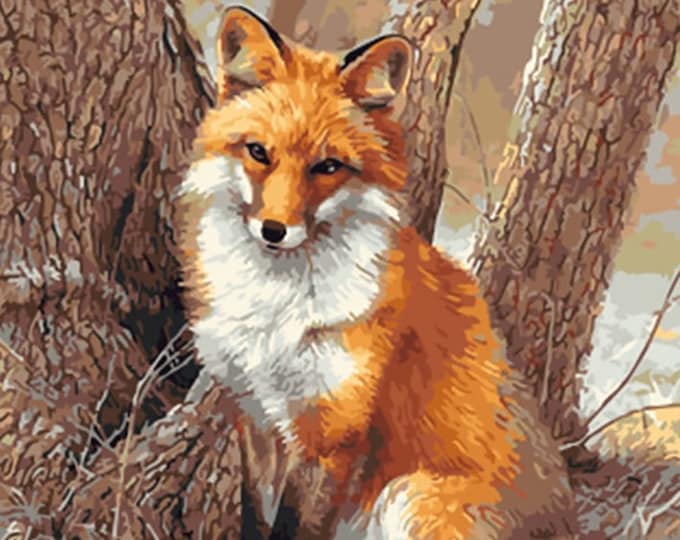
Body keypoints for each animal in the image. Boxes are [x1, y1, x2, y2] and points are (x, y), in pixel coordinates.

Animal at [175, 6, 575, 539]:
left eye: (327, 166)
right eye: (258, 152)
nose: (274, 230)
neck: (276, 314)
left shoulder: (333, 435)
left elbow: (298, 526)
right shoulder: (255, 419)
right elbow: (255, 521)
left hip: (410, 495)